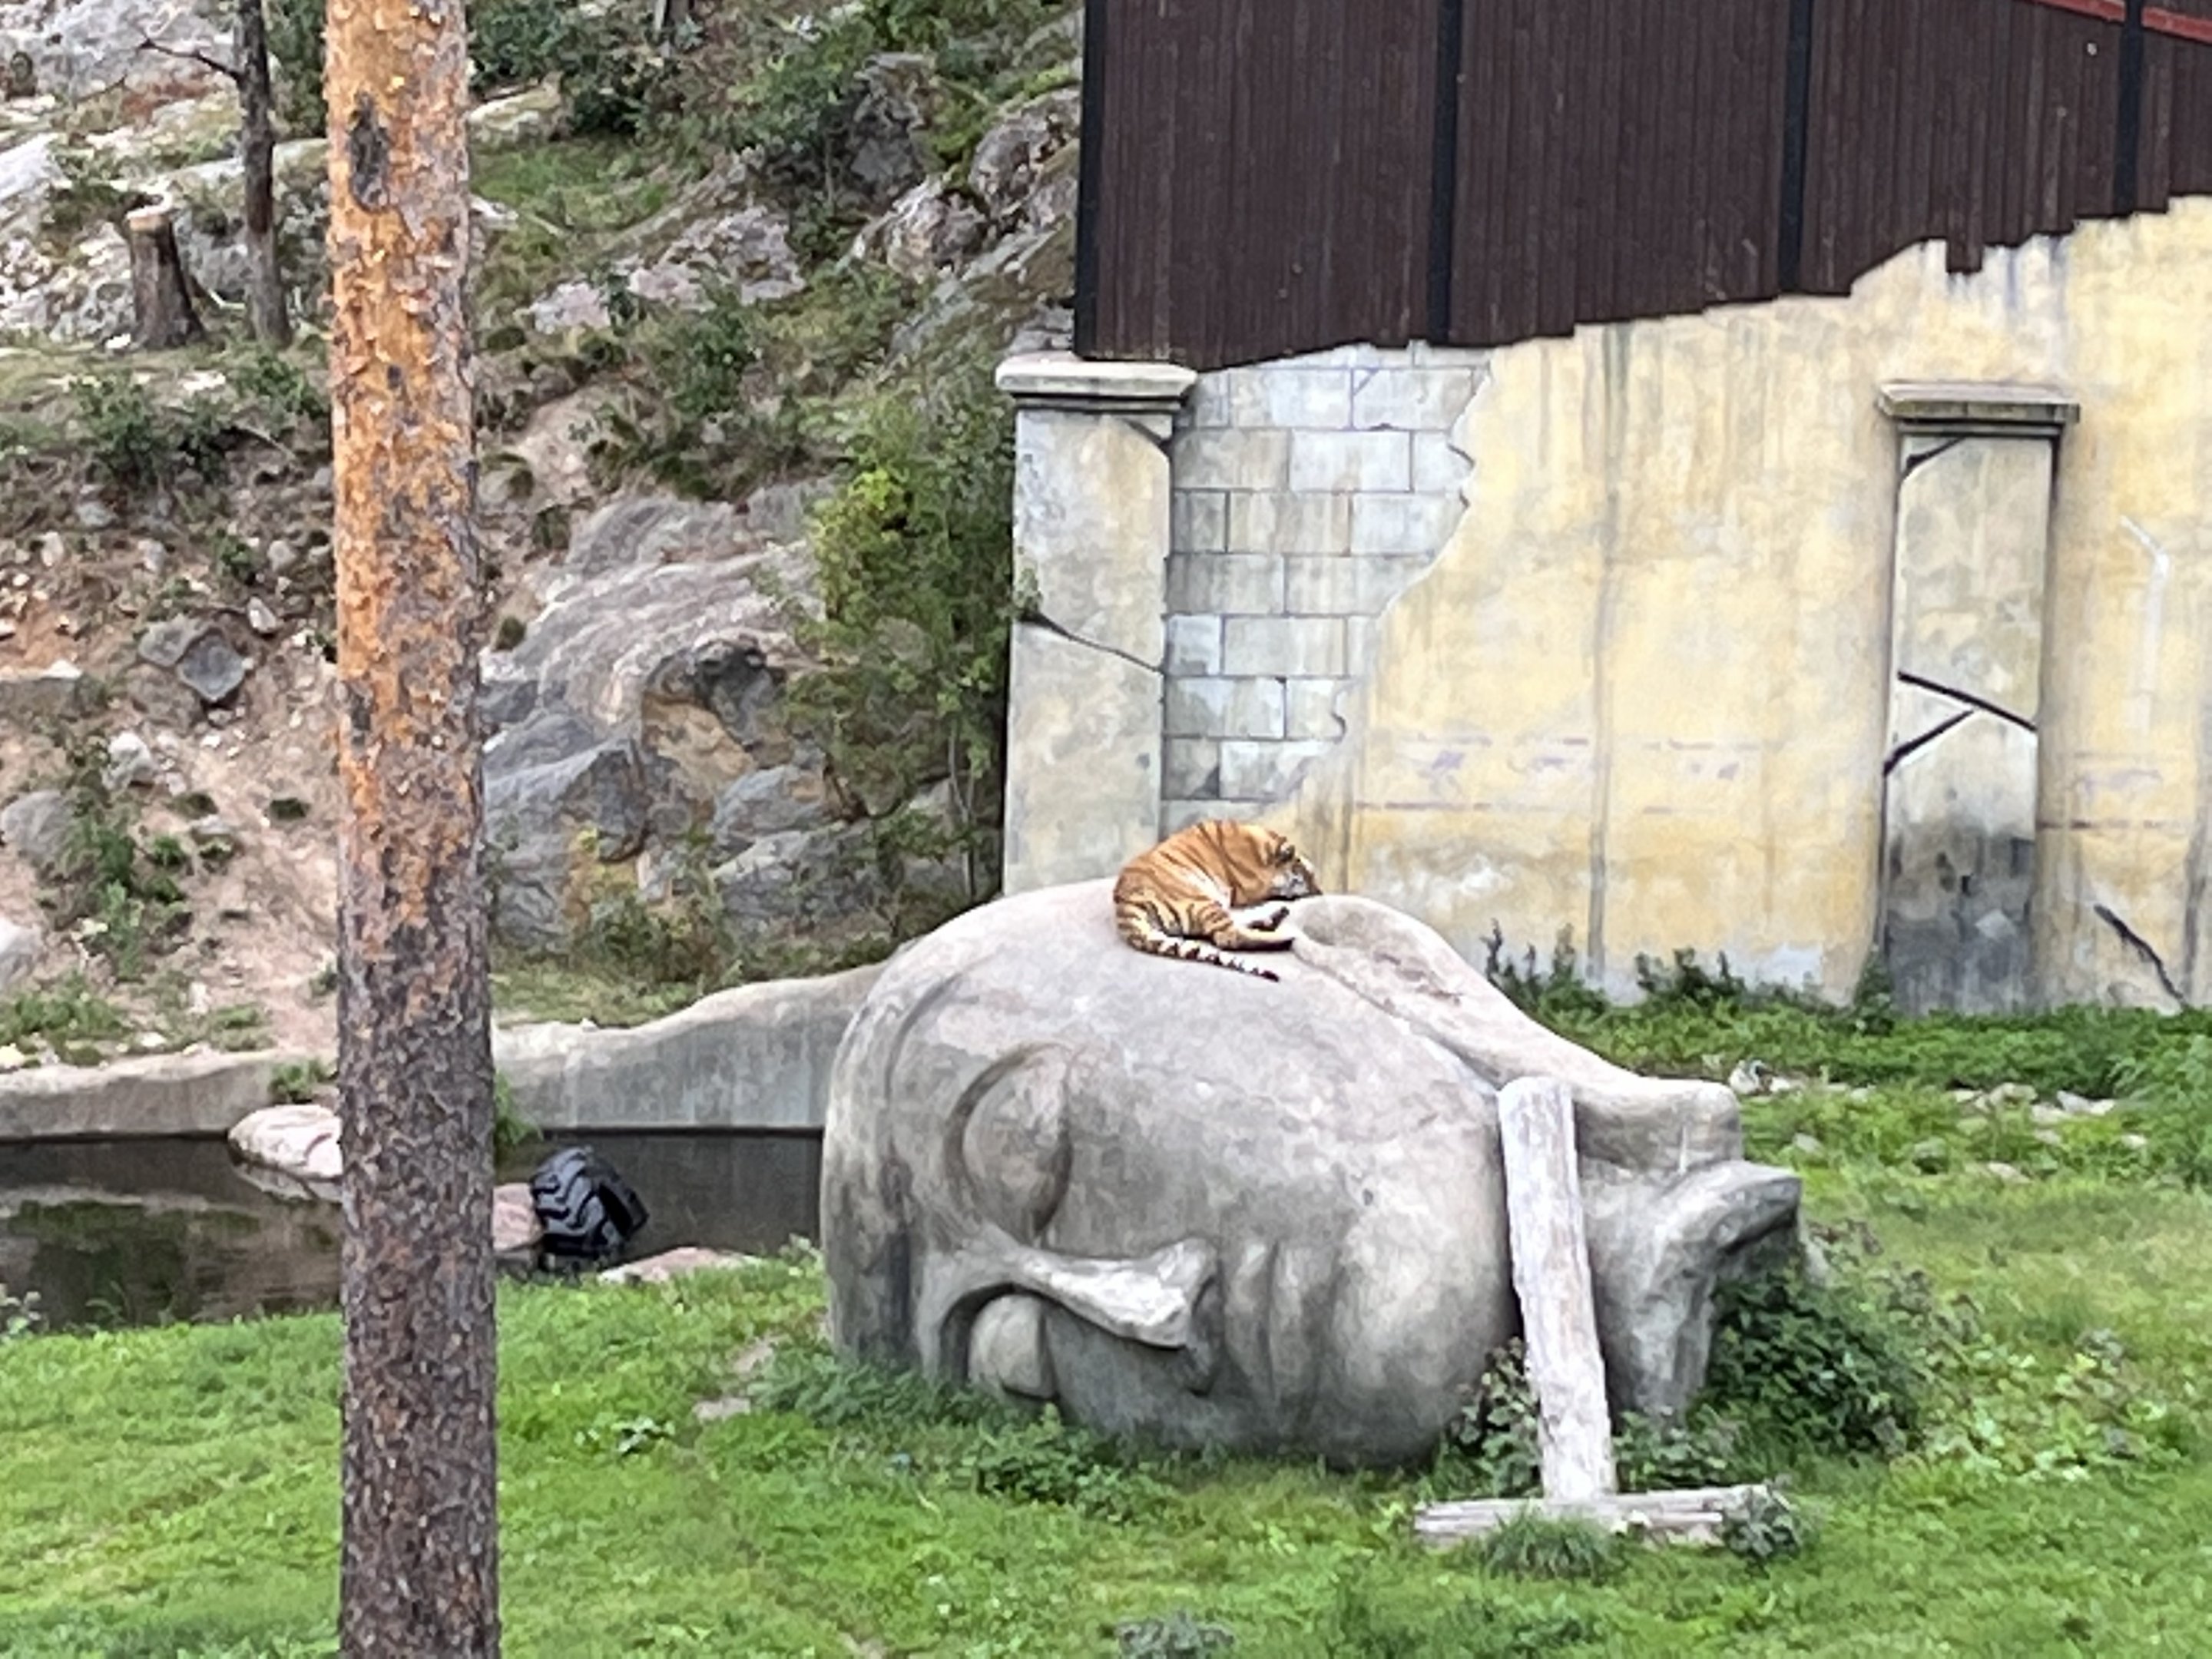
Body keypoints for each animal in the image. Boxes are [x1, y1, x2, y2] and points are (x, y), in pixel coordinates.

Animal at [1111, 818, 1322, 982]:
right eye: (1309, 877)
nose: (1320, 893)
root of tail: (1124, 905)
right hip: (1201, 899)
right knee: (1227, 936)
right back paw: (1287, 933)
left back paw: (1274, 914)